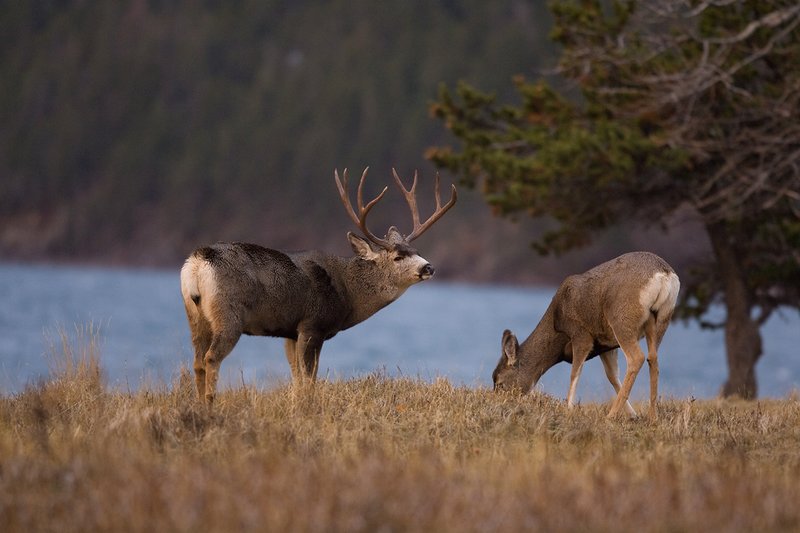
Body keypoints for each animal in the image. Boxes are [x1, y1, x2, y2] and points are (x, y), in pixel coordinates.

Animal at [180, 168, 456, 404]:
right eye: (398, 257)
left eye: (417, 251)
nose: (429, 267)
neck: (348, 292)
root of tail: (197, 262)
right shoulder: (313, 324)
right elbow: (308, 378)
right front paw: (306, 407)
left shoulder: (290, 331)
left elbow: (296, 376)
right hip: (228, 313)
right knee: (211, 357)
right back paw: (210, 404)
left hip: (195, 316)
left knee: (197, 361)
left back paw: (197, 405)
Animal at [492, 252, 680, 419]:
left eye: (500, 383)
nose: (497, 402)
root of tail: (664, 275)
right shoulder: (606, 344)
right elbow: (612, 376)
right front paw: (633, 414)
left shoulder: (581, 334)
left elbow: (575, 372)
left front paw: (568, 408)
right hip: (660, 319)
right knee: (653, 358)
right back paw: (653, 416)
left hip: (621, 319)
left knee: (637, 358)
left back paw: (611, 415)